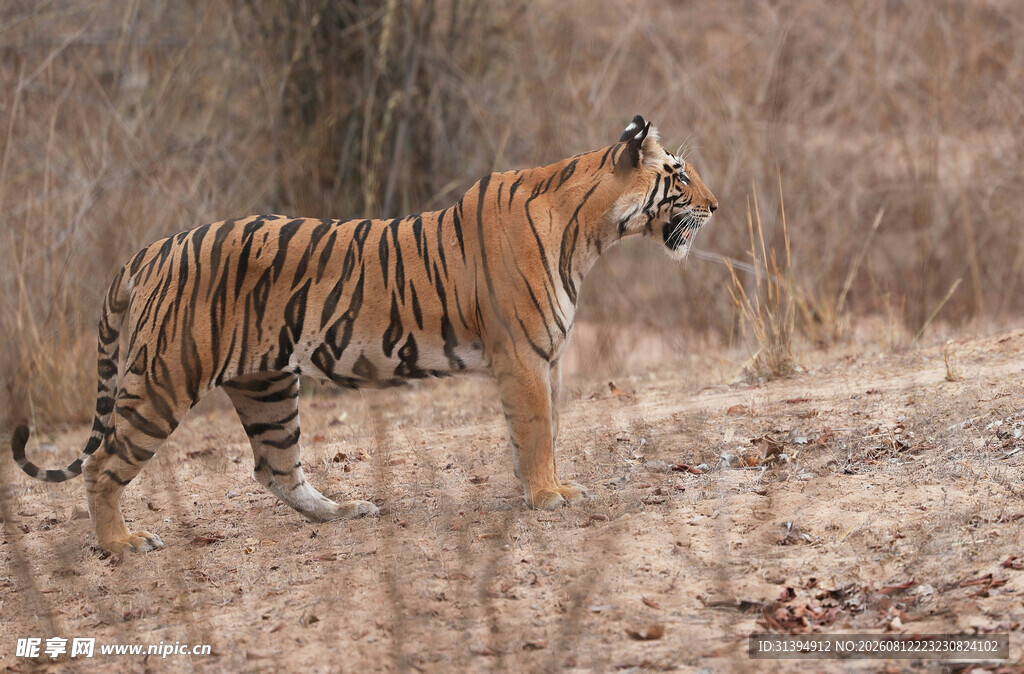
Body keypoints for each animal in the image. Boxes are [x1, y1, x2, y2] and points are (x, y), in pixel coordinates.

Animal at [10, 115, 717, 554]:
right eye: (680, 176)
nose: (716, 206)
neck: (592, 232)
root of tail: (154, 247)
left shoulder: (543, 358)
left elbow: (542, 430)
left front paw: (542, 489)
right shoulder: (521, 355)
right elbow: (539, 429)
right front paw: (548, 496)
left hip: (266, 386)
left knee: (275, 469)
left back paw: (345, 512)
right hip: (164, 379)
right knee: (101, 463)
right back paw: (122, 545)